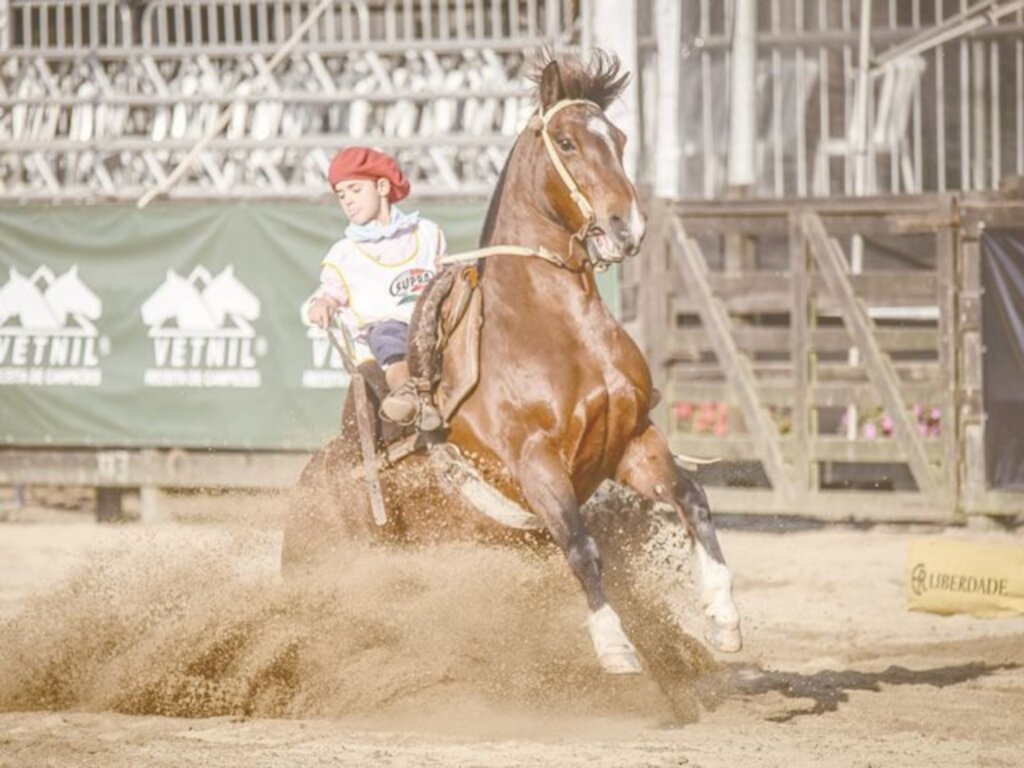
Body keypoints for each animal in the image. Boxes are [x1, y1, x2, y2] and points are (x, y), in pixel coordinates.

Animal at [284, 51, 741, 679]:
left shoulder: (631, 441)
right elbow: (581, 545)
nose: (628, 227)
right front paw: (615, 645)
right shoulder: (535, 463)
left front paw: (723, 617)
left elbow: (692, 498)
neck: (556, 331)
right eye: (567, 142)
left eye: (619, 138)